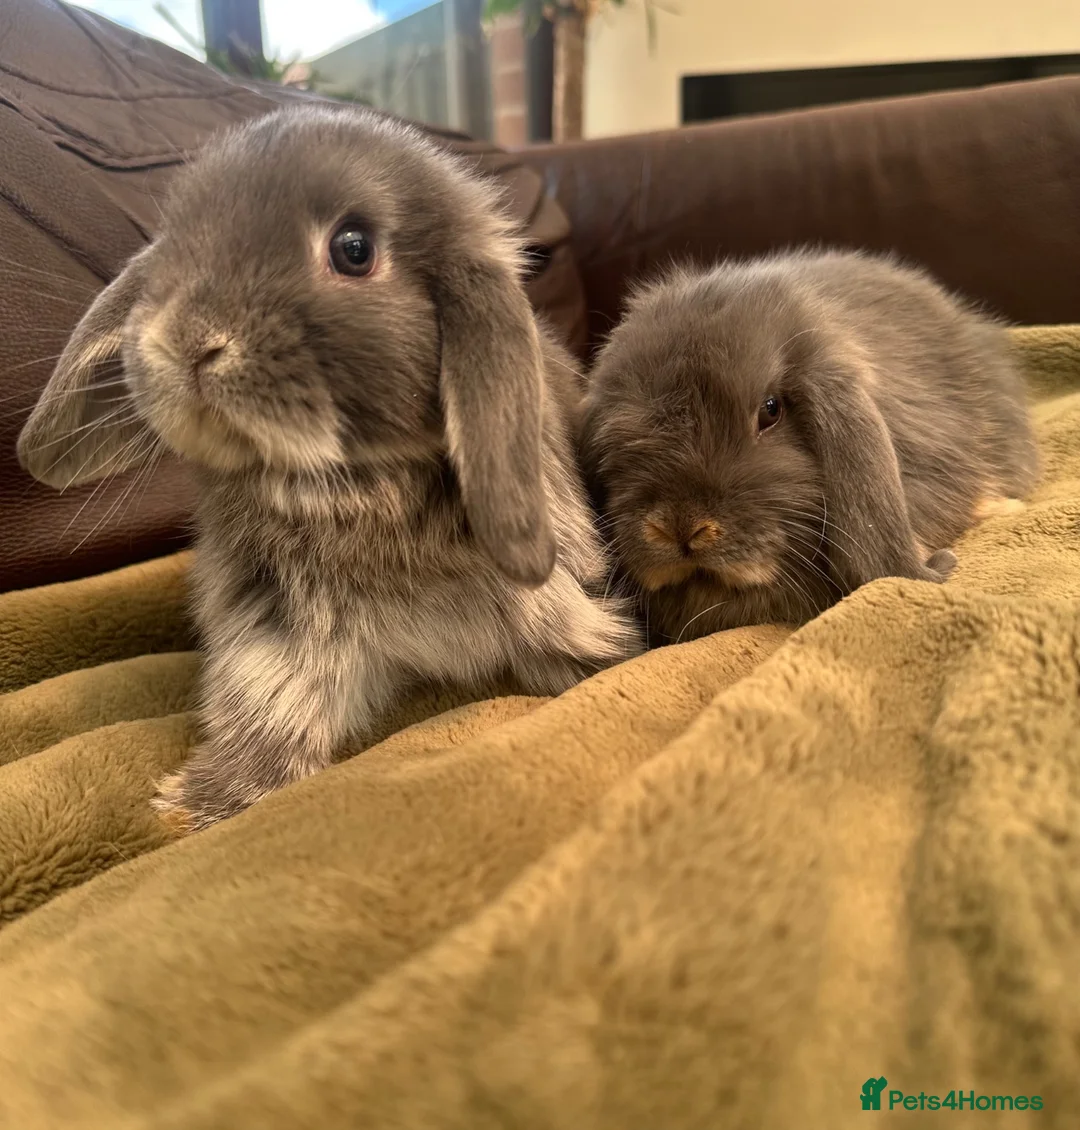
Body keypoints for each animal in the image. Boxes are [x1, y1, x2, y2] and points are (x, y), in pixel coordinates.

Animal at [16, 104, 643, 831]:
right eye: (176, 237)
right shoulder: (274, 634)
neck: (345, 484)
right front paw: (202, 804)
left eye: (353, 249)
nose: (189, 340)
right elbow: (270, 713)